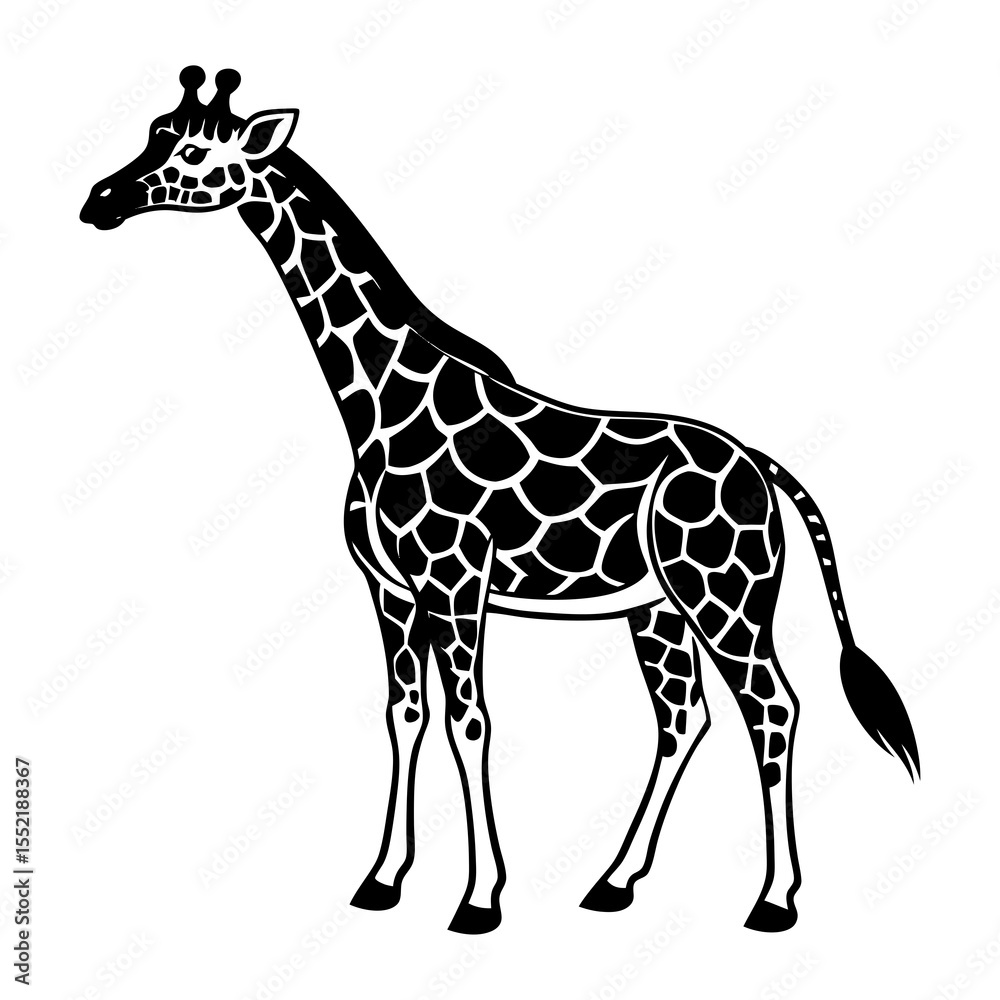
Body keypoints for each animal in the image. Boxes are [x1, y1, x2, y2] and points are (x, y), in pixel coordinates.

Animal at [81, 68, 921, 935]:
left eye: (192, 151)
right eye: (153, 130)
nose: (99, 200)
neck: (380, 404)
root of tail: (760, 464)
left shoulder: (455, 581)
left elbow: (470, 720)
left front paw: (479, 898)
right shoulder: (392, 588)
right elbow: (406, 716)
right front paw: (383, 879)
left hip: (725, 594)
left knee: (771, 707)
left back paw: (774, 899)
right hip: (656, 607)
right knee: (684, 717)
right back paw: (614, 881)